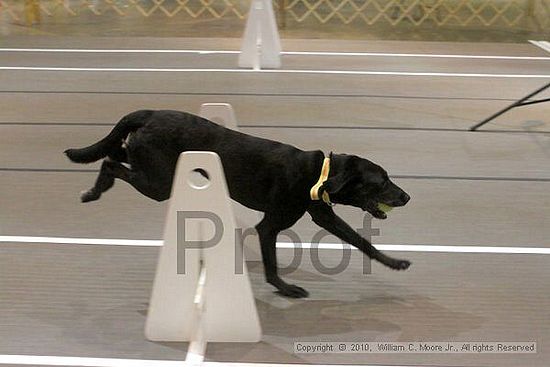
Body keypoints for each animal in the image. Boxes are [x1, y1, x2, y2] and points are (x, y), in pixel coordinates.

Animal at [67, 110, 412, 300]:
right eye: (382, 181)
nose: (407, 197)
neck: (319, 173)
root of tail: (149, 113)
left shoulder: (323, 215)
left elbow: (362, 242)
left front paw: (395, 262)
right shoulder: (269, 225)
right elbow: (272, 265)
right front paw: (285, 288)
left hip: (148, 166)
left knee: (114, 153)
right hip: (159, 183)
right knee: (110, 164)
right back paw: (94, 192)